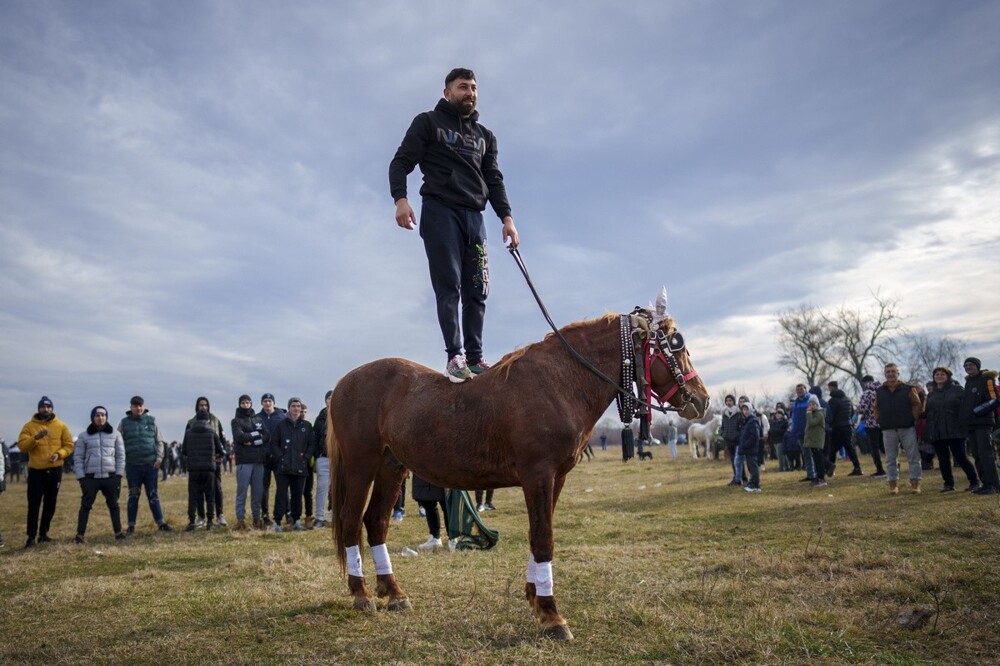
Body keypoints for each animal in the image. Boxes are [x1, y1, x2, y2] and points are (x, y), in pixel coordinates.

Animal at [328, 298, 712, 636]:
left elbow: (539, 535)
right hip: (361, 466)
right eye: (675, 344)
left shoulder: (556, 478)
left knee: (376, 522)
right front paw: (552, 615)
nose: (702, 399)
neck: (561, 382)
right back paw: (361, 594)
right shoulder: (538, 475)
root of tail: (344, 382)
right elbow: (543, 539)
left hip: (392, 468)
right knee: (351, 521)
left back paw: (393, 592)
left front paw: (536, 598)